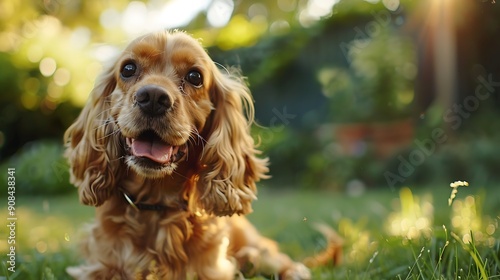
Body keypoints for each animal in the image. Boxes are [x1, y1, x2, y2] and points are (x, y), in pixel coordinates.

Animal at [65, 31, 312, 280]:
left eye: (195, 76)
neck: (156, 205)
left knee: (270, 254)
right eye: (128, 69)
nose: (153, 97)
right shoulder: (99, 266)